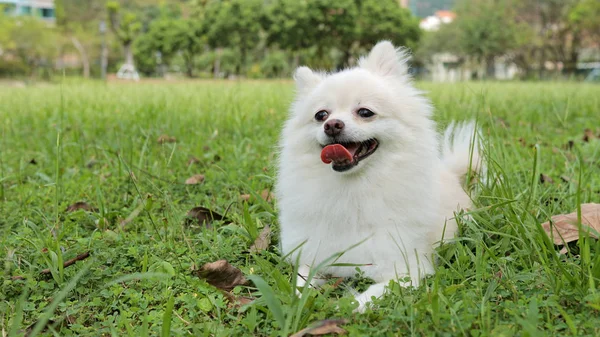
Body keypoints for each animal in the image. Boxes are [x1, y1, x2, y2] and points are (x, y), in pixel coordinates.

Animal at [274, 40, 480, 312]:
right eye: (321, 115)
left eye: (365, 112)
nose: (332, 125)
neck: (355, 188)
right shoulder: (313, 253)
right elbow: (301, 282)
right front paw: (299, 302)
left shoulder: (408, 268)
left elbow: (370, 295)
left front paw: (343, 308)